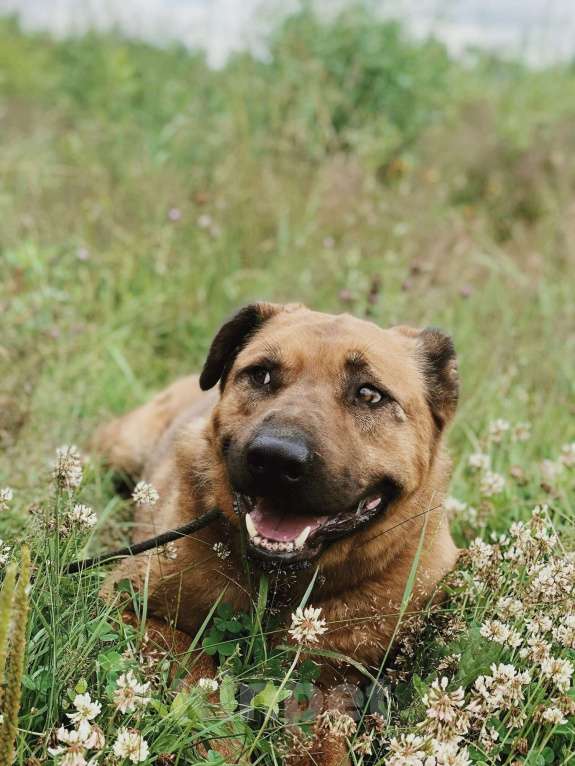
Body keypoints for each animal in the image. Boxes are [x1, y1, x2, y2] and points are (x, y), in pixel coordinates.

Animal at [95, 306, 464, 760]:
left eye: (369, 394)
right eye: (261, 375)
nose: (274, 458)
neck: (283, 585)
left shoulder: (331, 677)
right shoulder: (127, 603)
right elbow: (195, 664)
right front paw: (220, 744)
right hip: (121, 450)